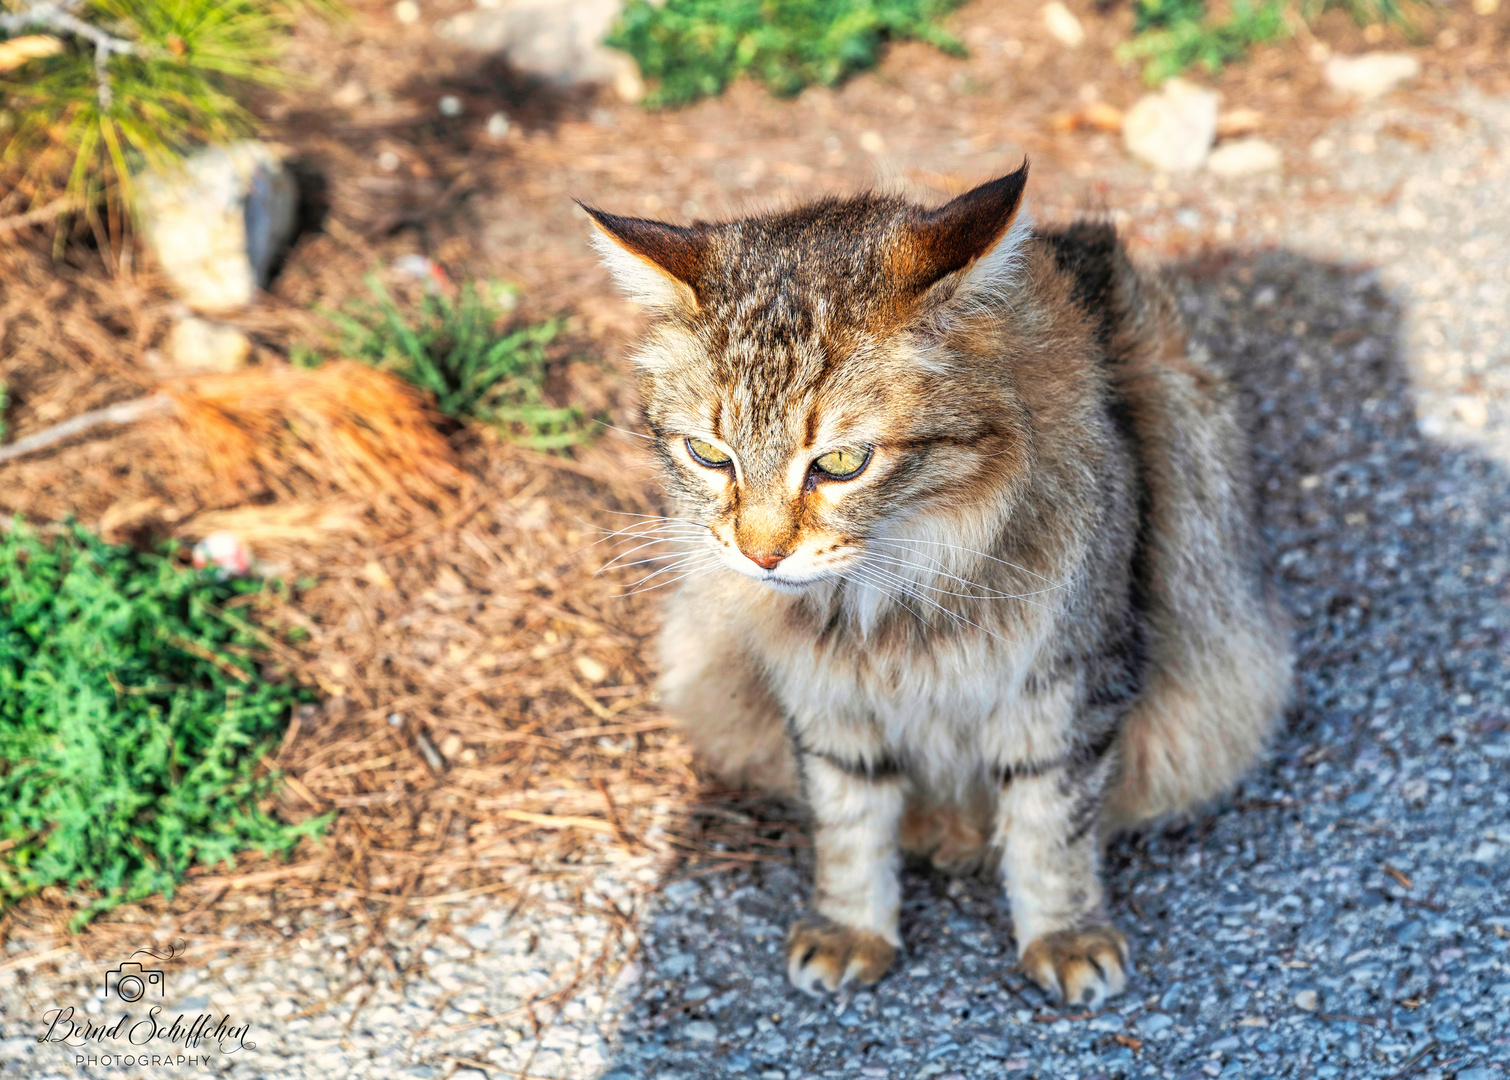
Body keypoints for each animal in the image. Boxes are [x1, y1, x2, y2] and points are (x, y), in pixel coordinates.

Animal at [582, 164, 1292, 1009]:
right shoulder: (825, 694)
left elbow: (1051, 828)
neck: (896, 595)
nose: (761, 557)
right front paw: (853, 926)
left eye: (841, 464)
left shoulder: (1068, 683)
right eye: (709, 457)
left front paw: (1064, 934)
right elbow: (849, 822)